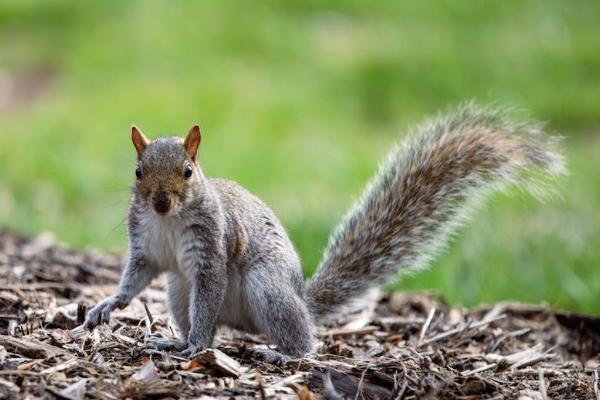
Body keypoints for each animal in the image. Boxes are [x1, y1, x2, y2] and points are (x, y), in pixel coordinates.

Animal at [83, 103, 564, 356]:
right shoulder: (146, 246)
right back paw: (172, 344)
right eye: (138, 171)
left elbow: (208, 298)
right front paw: (108, 305)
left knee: (301, 343)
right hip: (178, 289)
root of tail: (302, 298)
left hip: (266, 287)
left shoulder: (212, 249)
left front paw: (198, 347)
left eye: (187, 171)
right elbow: (134, 277)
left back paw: (271, 350)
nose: (160, 201)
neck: (168, 221)